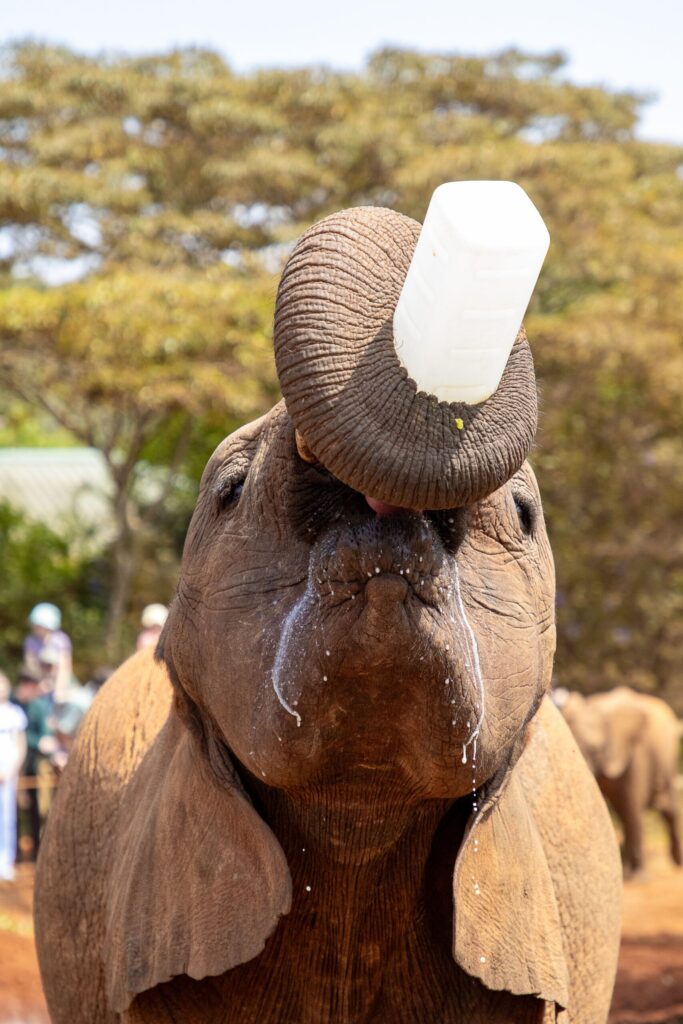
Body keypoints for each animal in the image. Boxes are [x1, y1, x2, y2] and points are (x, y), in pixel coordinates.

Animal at [555, 685, 682, 875]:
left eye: (597, 749)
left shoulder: (636, 754)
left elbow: (632, 807)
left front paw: (637, 876)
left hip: (668, 756)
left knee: (667, 807)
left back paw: (675, 863)